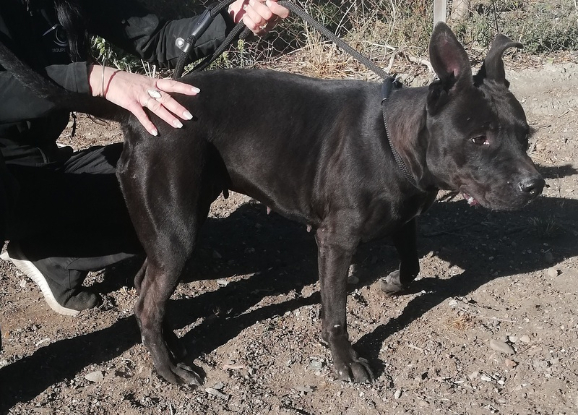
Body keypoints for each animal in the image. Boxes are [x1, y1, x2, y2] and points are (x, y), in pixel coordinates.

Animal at [0, 22, 544, 384]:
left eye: (526, 135)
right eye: (480, 138)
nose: (534, 185)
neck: (393, 141)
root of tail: (139, 111)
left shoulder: (405, 216)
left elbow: (410, 261)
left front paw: (394, 283)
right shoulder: (335, 242)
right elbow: (337, 314)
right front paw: (347, 363)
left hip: (174, 226)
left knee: (144, 287)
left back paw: (172, 345)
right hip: (177, 232)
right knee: (147, 302)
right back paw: (169, 369)